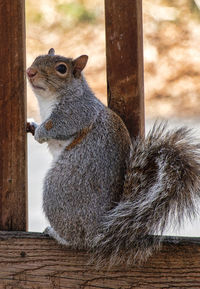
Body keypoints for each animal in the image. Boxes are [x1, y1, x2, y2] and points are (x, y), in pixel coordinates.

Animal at [26, 47, 200, 266]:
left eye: (61, 69)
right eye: (37, 58)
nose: (30, 72)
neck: (48, 100)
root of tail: (99, 230)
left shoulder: (77, 112)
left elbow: (58, 126)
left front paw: (40, 132)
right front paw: (32, 125)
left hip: (59, 187)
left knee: (77, 240)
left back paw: (58, 234)